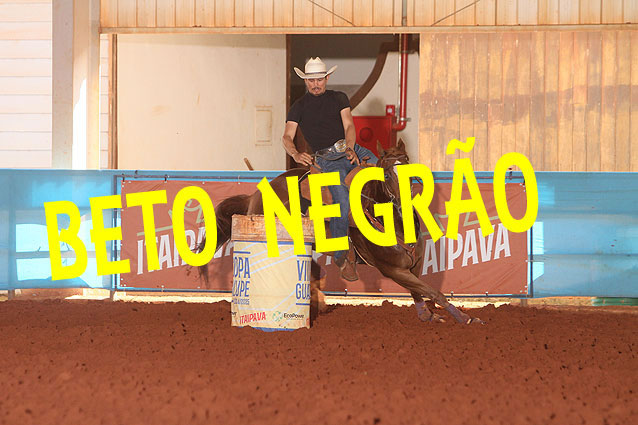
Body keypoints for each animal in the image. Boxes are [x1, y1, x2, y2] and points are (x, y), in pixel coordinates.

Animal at [205, 140, 483, 325]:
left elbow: (421, 291)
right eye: (386, 173)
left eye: (410, 166)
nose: (405, 200)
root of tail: (256, 193)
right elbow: (434, 291)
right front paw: (465, 318)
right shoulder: (391, 269)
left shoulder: (413, 264)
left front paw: (429, 315)